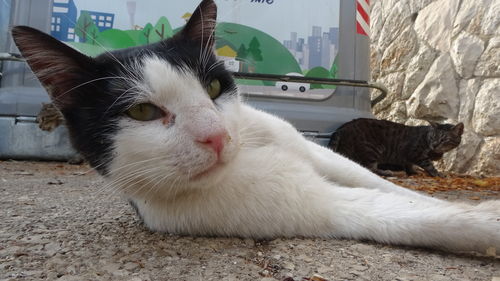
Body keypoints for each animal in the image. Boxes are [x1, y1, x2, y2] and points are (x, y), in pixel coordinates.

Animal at [328, 117, 464, 175]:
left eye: (444, 139)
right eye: (433, 137)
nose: (435, 145)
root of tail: (341, 129)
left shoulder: (409, 157)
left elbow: (409, 164)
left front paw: (412, 172)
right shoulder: (416, 153)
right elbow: (428, 165)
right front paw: (437, 173)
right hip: (372, 150)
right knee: (369, 168)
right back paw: (387, 172)